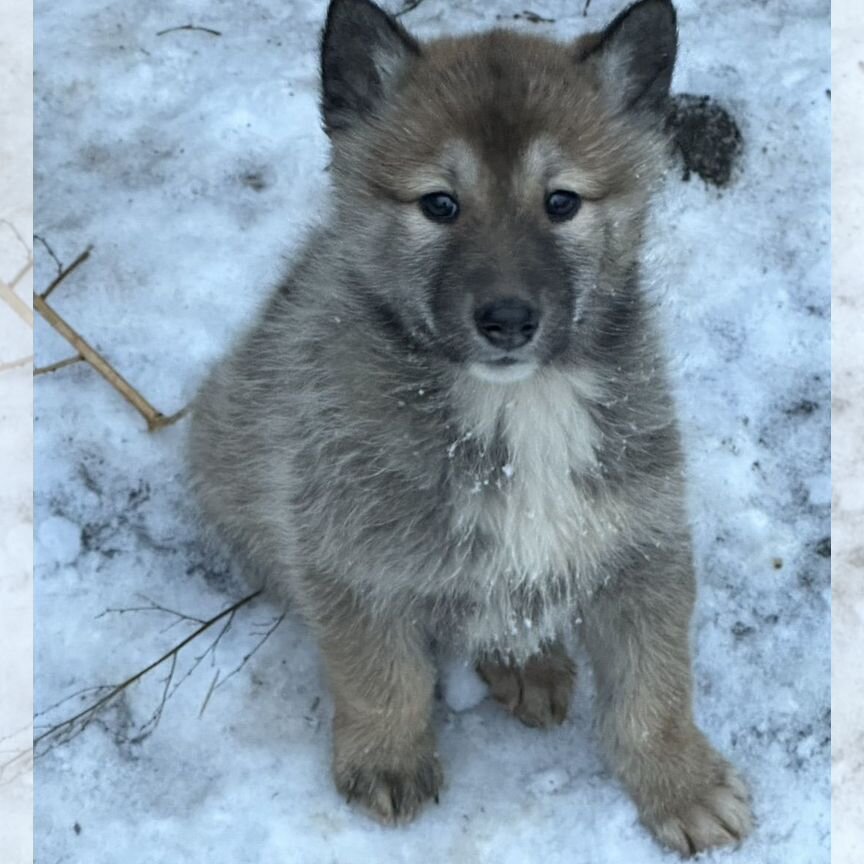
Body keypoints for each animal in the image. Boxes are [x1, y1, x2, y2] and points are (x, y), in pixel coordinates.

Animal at [187, 0, 748, 852]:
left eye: (562, 201)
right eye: (439, 205)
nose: (508, 320)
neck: (517, 407)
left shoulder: (640, 539)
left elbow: (655, 687)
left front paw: (681, 782)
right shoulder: (350, 555)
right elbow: (379, 673)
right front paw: (388, 759)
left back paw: (534, 662)